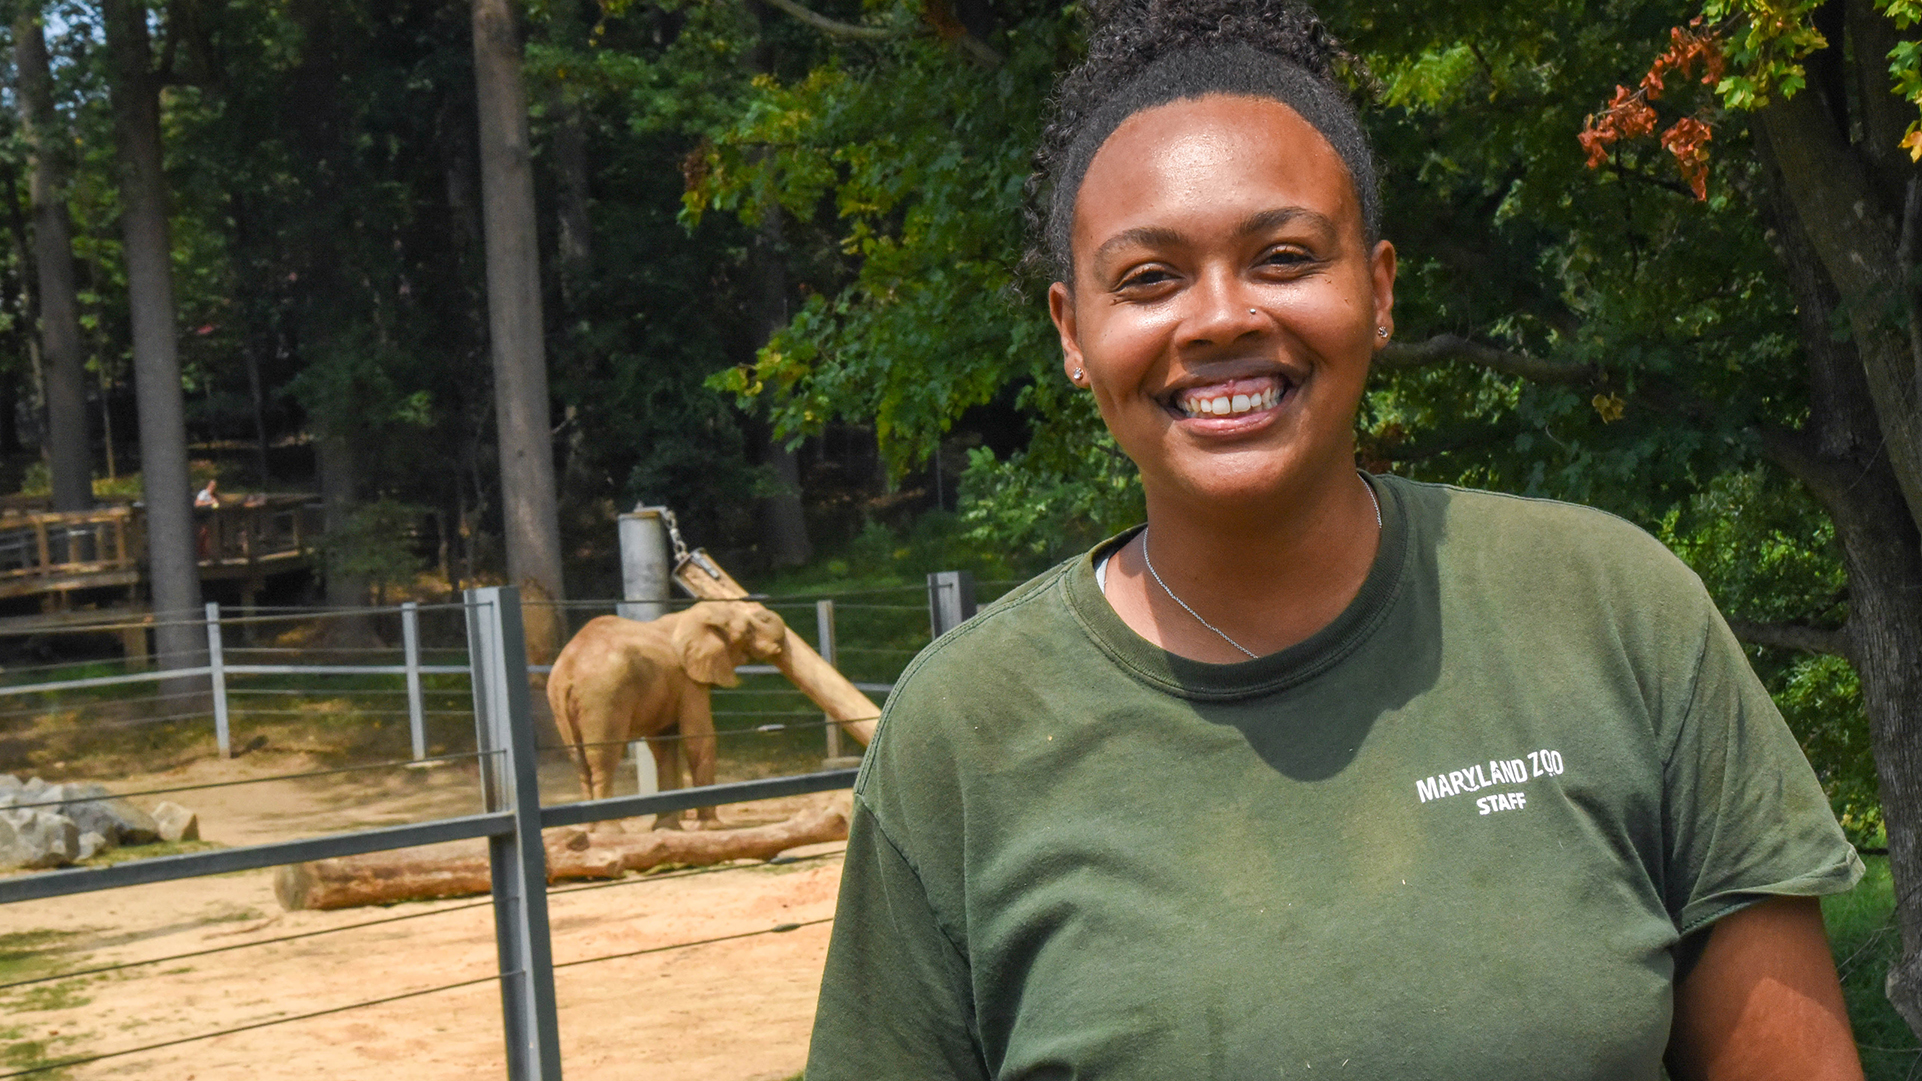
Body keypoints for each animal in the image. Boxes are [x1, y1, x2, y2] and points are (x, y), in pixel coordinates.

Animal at [542, 596, 788, 823]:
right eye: (750, 629)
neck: (693, 616)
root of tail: (569, 667)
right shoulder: (689, 680)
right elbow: (699, 737)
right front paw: (712, 826)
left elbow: (663, 745)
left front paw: (668, 827)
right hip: (602, 696)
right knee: (602, 758)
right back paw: (609, 830)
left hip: (558, 699)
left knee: (579, 760)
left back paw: (593, 831)